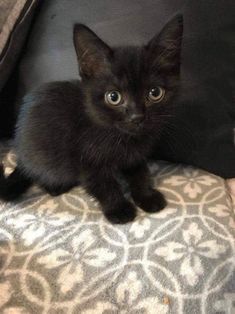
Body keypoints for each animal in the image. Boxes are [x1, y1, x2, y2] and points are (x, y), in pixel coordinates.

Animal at [0, 14, 184, 223]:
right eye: (113, 97)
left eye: (155, 93)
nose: (137, 116)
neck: (123, 137)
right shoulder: (85, 160)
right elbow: (103, 184)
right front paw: (119, 209)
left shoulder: (135, 156)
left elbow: (140, 172)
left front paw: (146, 196)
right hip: (45, 157)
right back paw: (57, 186)